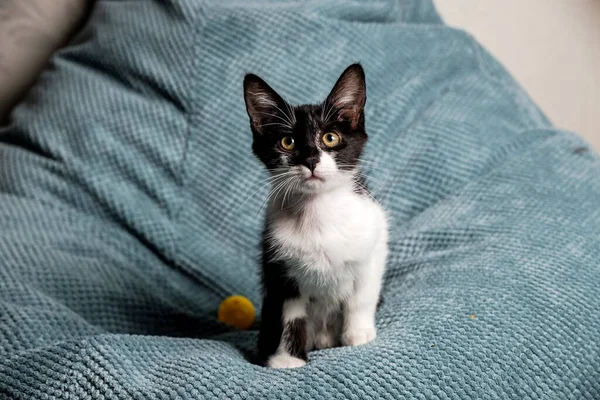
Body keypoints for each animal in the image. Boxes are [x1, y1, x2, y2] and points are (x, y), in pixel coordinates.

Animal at [244, 63, 390, 368]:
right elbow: (289, 313)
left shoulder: (375, 238)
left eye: (329, 138)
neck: (318, 211)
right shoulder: (279, 265)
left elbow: (363, 294)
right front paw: (287, 360)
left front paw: (358, 334)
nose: (311, 159)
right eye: (287, 142)